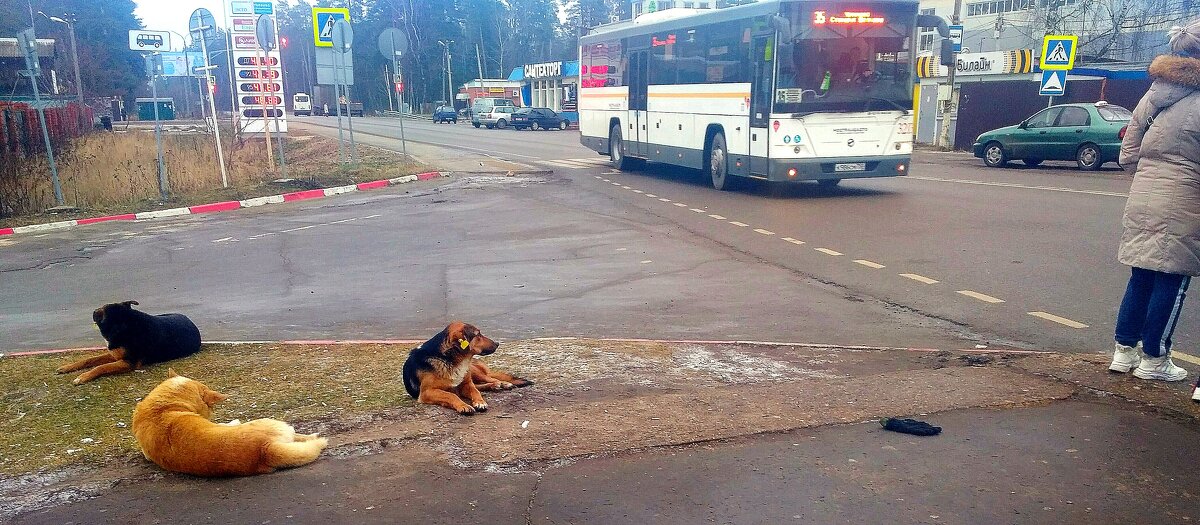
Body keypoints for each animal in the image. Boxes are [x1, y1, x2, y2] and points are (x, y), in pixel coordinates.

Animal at [55, 302, 201, 383]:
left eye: (120, 328)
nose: (95, 312)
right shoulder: (114, 354)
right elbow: (89, 360)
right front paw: (67, 367)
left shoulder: (128, 362)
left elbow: (101, 367)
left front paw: (83, 377)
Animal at [400, 321, 532, 417]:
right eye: (478, 334)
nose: (497, 343)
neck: (450, 360)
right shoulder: (427, 392)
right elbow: (451, 395)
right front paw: (464, 406)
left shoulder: (466, 384)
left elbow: (475, 391)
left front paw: (480, 402)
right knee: (482, 384)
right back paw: (496, 386)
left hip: (474, 372)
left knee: (490, 379)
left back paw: (503, 384)